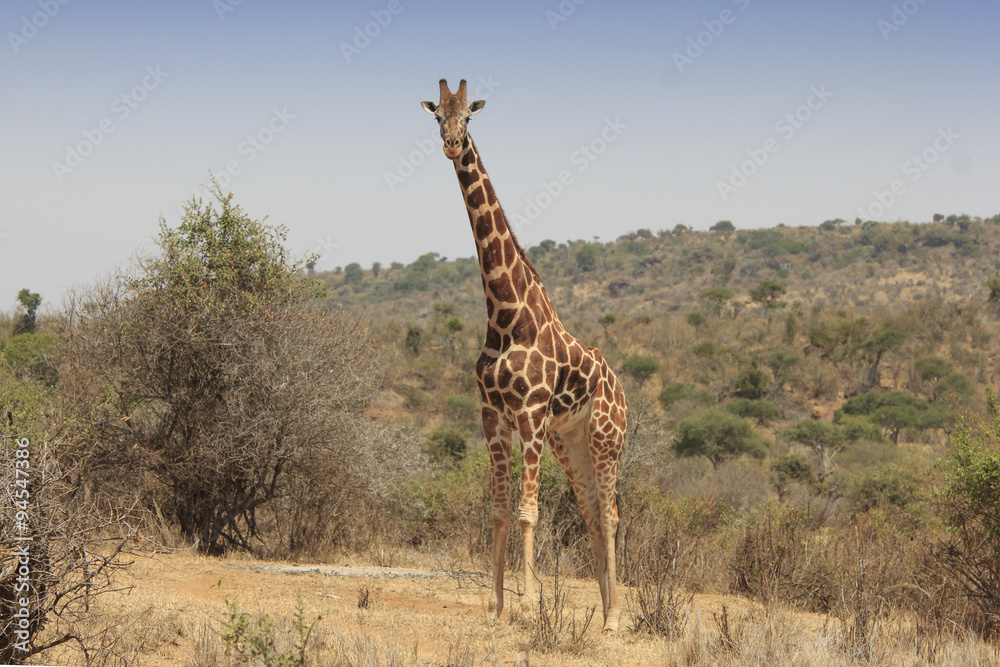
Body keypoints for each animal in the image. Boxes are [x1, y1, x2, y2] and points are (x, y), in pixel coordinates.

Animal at [421, 79, 628, 632]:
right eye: (437, 115)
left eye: (469, 115)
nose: (451, 144)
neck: (505, 313)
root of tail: (621, 388)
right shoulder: (492, 415)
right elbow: (497, 509)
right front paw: (495, 607)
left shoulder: (531, 413)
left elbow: (527, 511)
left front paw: (530, 604)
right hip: (570, 440)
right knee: (591, 511)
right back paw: (603, 610)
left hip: (606, 438)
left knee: (610, 514)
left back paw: (614, 618)